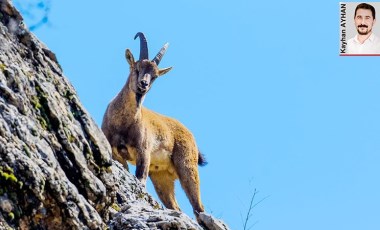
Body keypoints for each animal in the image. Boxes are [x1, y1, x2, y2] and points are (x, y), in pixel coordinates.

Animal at [101, 32, 208, 221]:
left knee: (199, 208)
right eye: (137, 68)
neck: (123, 124)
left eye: (155, 76)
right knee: (176, 206)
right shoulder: (116, 153)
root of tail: (190, 135)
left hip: (187, 166)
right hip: (161, 176)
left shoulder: (143, 152)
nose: (143, 84)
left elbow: (140, 180)